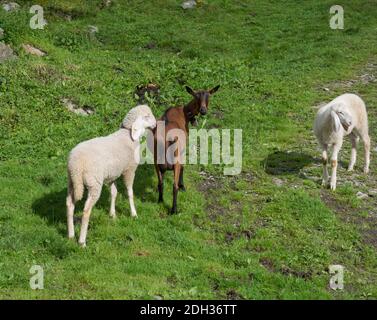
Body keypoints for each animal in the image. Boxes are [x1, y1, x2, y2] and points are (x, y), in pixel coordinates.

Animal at [66, 105, 156, 248]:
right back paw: (82, 242)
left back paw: (70, 235)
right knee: (86, 210)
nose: (155, 123)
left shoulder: (112, 175)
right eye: (147, 116)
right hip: (94, 183)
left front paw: (112, 214)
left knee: (70, 204)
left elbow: (114, 193)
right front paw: (133, 214)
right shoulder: (129, 170)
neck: (127, 135)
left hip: (72, 182)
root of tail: (76, 164)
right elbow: (129, 192)